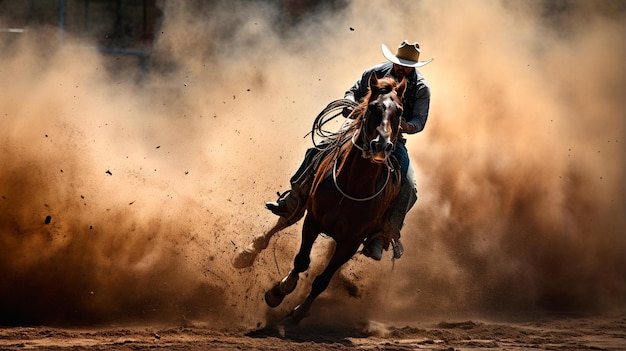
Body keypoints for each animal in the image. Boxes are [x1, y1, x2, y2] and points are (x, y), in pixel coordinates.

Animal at [233, 74, 404, 328]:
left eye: (399, 111)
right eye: (373, 106)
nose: (381, 145)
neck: (352, 184)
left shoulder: (351, 242)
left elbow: (322, 279)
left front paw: (298, 313)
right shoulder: (313, 220)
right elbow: (301, 260)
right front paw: (278, 291)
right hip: (301, 202)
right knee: (284, 220)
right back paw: (246, 254)